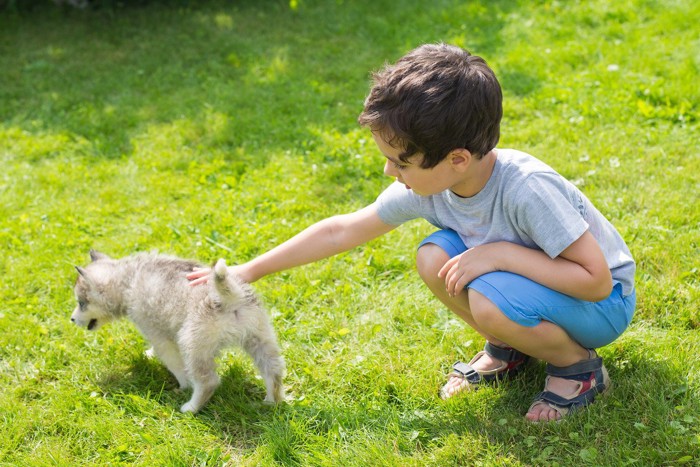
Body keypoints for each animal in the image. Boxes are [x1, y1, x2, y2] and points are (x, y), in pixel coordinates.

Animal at [70, 250, 284, 414]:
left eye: (81, 303)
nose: (71, 319)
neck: (129, 279)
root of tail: (230, 297)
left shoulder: (159, 335)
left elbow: (176, 365)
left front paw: (184, 386)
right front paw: (149, 354)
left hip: (193, 343)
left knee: (208, 381)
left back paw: (191, 407)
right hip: (259, 337)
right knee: (273, 370)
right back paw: (271, 401)